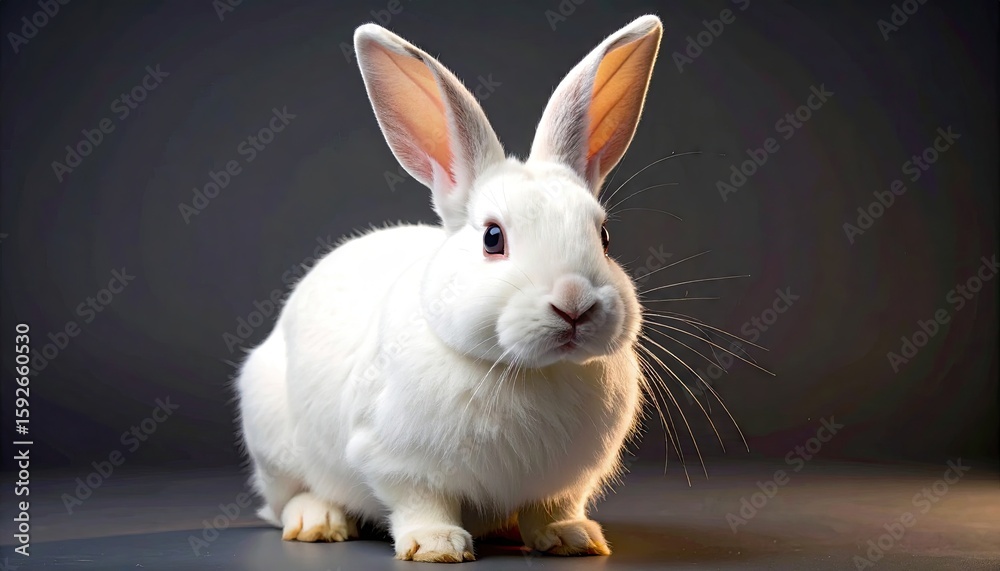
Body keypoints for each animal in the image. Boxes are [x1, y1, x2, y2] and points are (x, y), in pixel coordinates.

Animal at [236, 14, 663, 563]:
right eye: (492, 238)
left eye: (604, 237)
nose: (575, 304)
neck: (524, 371)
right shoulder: (395, 460)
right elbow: (421, 501)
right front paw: (436, 546)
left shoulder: (568, 480)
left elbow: (552, 507)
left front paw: (571, 539)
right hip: (274, 443)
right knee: (286, 500)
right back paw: (319, 523)